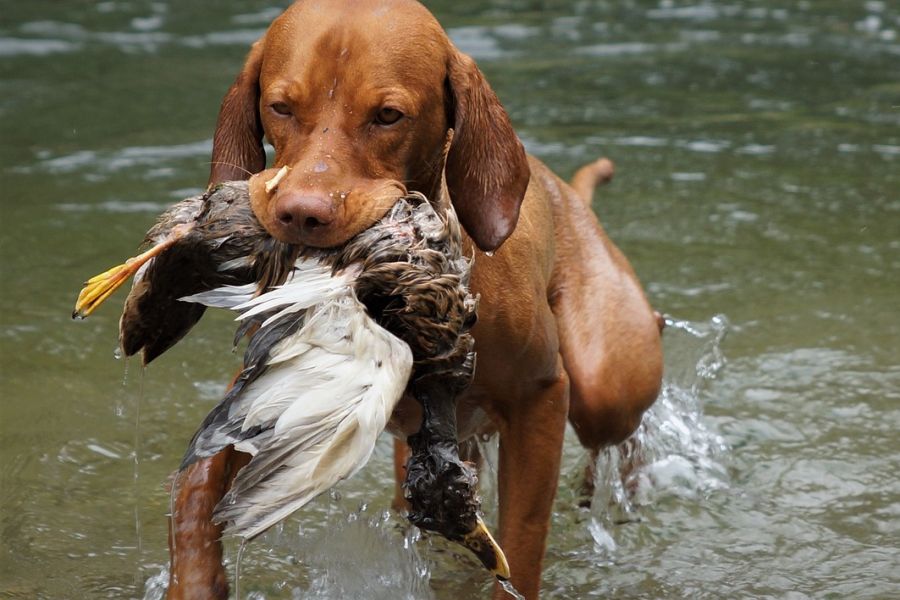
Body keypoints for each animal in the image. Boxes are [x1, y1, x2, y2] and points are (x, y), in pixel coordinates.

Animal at [165, 2, 664, 596]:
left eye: (388, 116)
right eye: (280, 107)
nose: (301, 214)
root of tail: (569, 194)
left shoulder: (539, 398)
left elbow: (520, 545)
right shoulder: (269, 391)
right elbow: (195, 485)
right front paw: (194, 579)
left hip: (604, 383)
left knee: (619, 426)